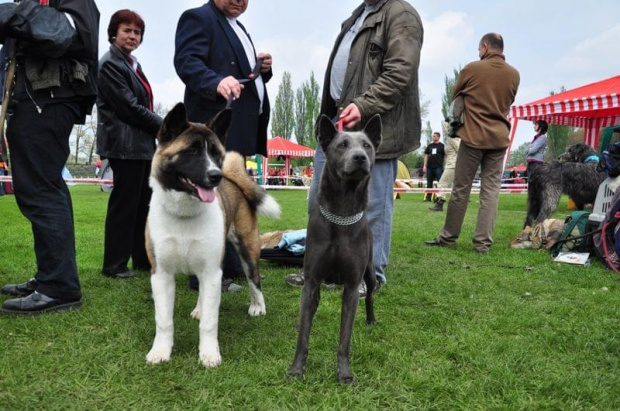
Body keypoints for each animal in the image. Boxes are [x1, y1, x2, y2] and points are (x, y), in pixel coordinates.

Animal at [144, 104, 280, 368]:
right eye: (191, 151)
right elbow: (163, 320)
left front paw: (208, 354)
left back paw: (258, 306)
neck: (184, 214)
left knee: (254, 280)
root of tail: (232, 178)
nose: (215, 175)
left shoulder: (212, 272)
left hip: (247, 248)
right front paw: (161, 351)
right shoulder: (161, 274)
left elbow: (209, 322)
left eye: (217, 153)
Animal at [286, 113, 382, 386]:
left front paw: (344, 373)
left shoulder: (351, 287)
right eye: (342, 145)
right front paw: (297, 369)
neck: (342, 211)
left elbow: (344, 339)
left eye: (367, 146)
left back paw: (371, 320)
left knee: (370, 295)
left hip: (369, 272)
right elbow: (303, 335)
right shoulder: (311, 283)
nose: (360, 157)